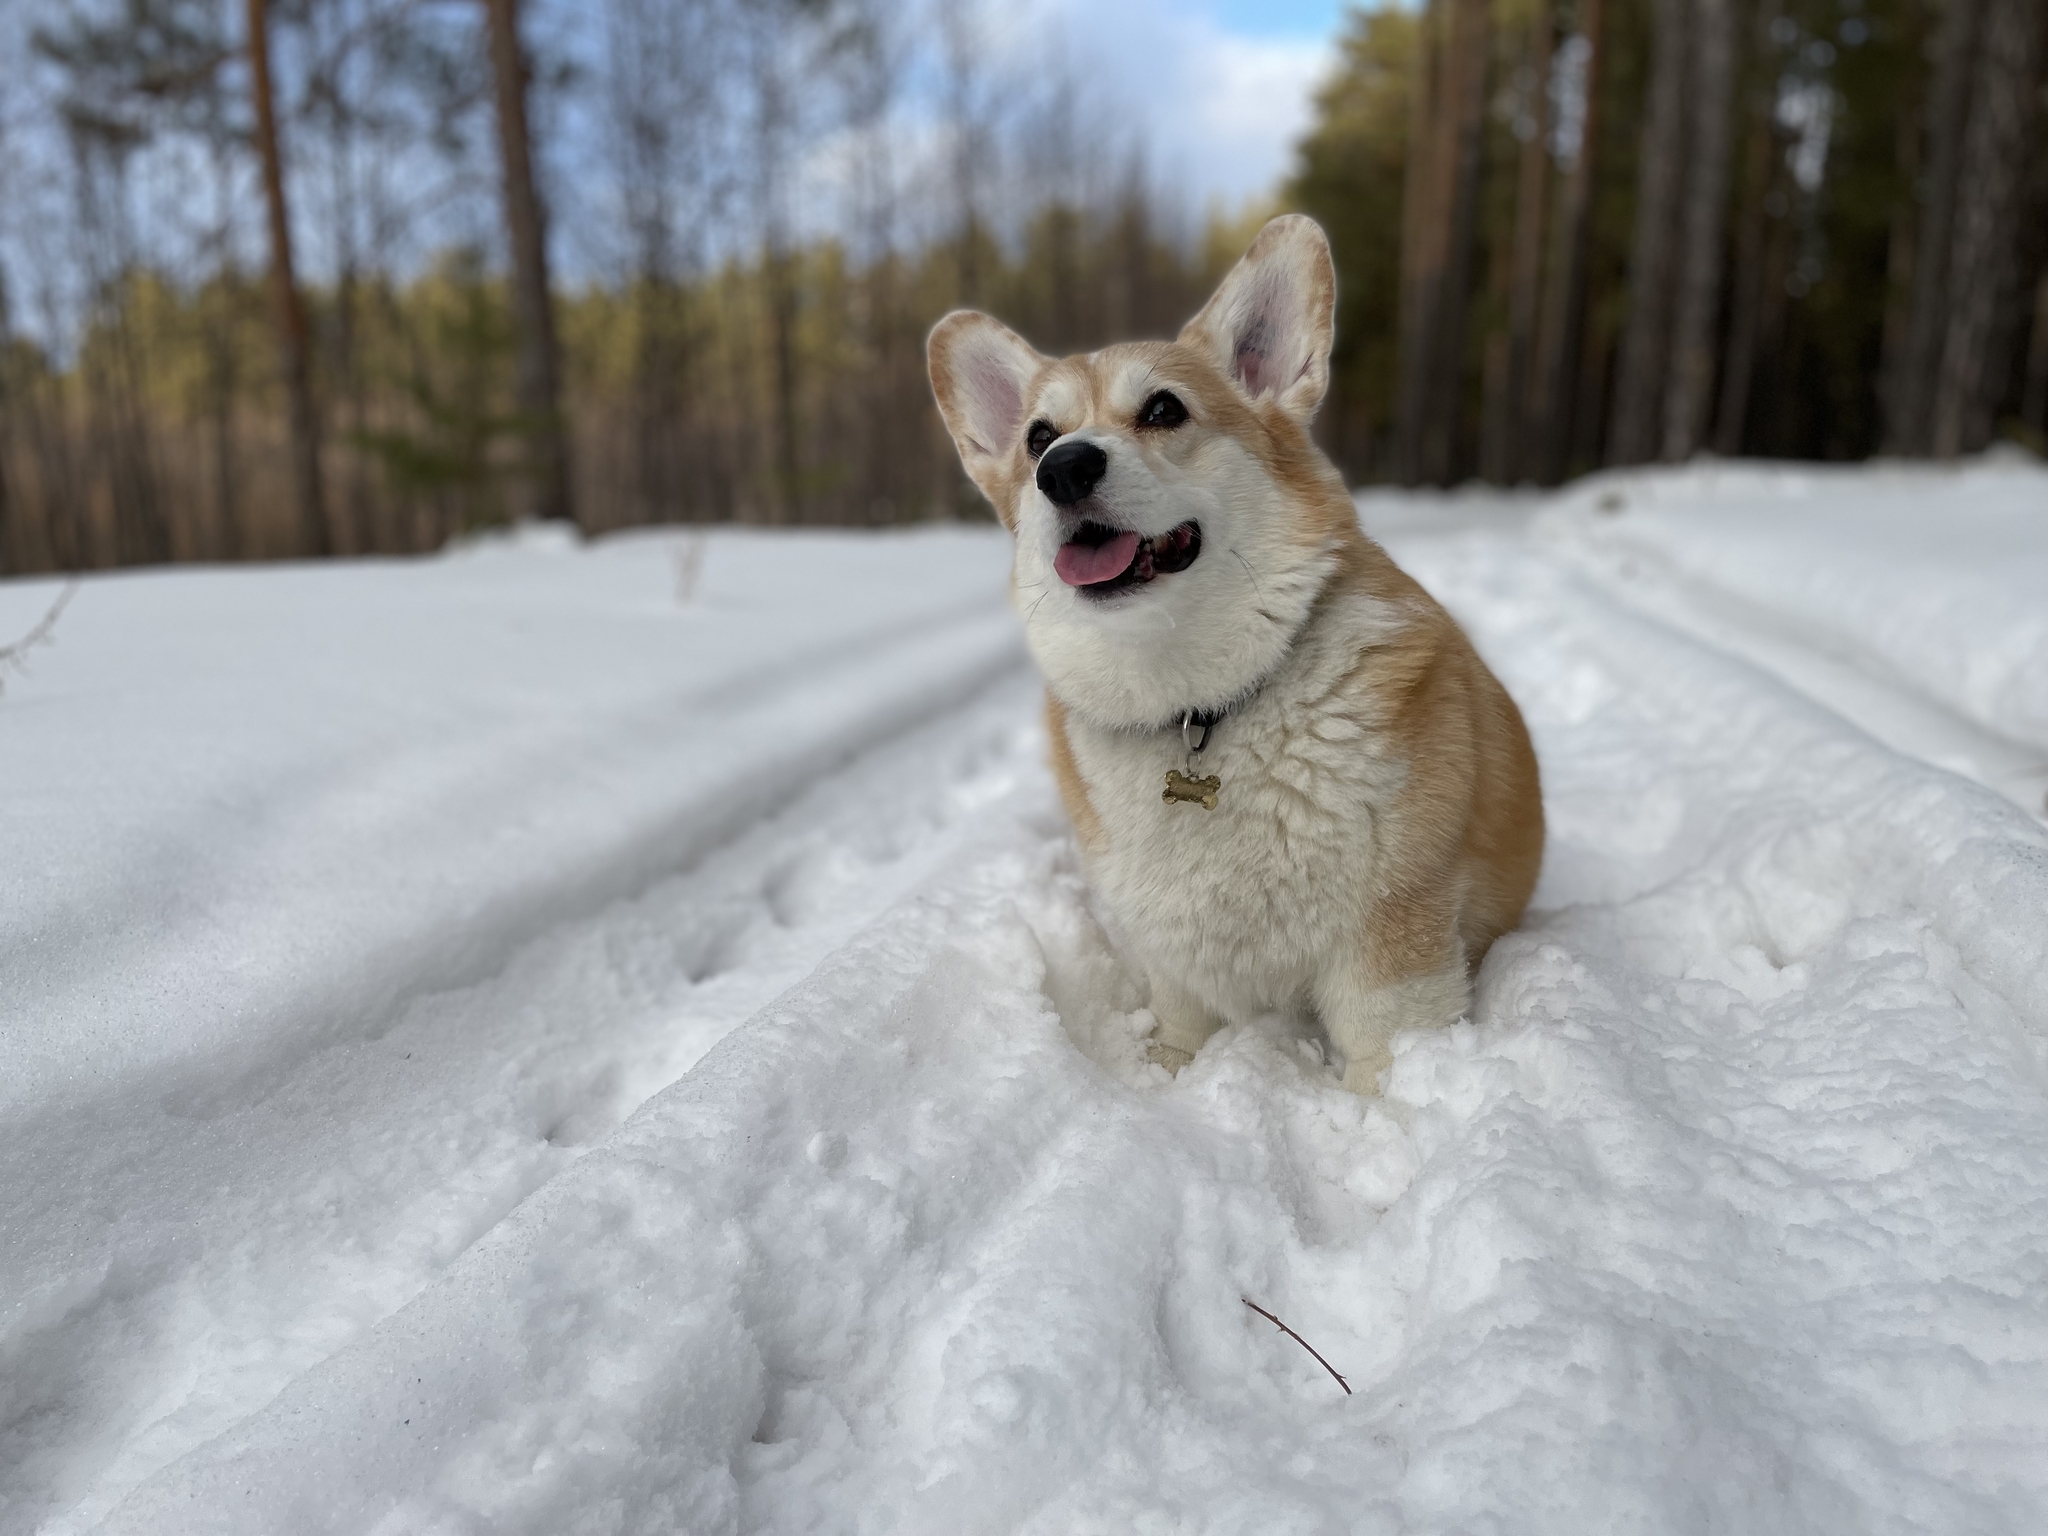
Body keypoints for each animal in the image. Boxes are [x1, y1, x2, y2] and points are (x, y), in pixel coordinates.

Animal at [925, 217, 1540, 1097]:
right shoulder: (1176, 959)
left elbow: (1388, 1066)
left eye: (1162, 409)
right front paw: (1167, 1083)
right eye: (1037, 436)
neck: (1200, 707)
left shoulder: (1392, 945)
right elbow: (1180, 1029)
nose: (1062, 468)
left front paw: (1385, 1124)